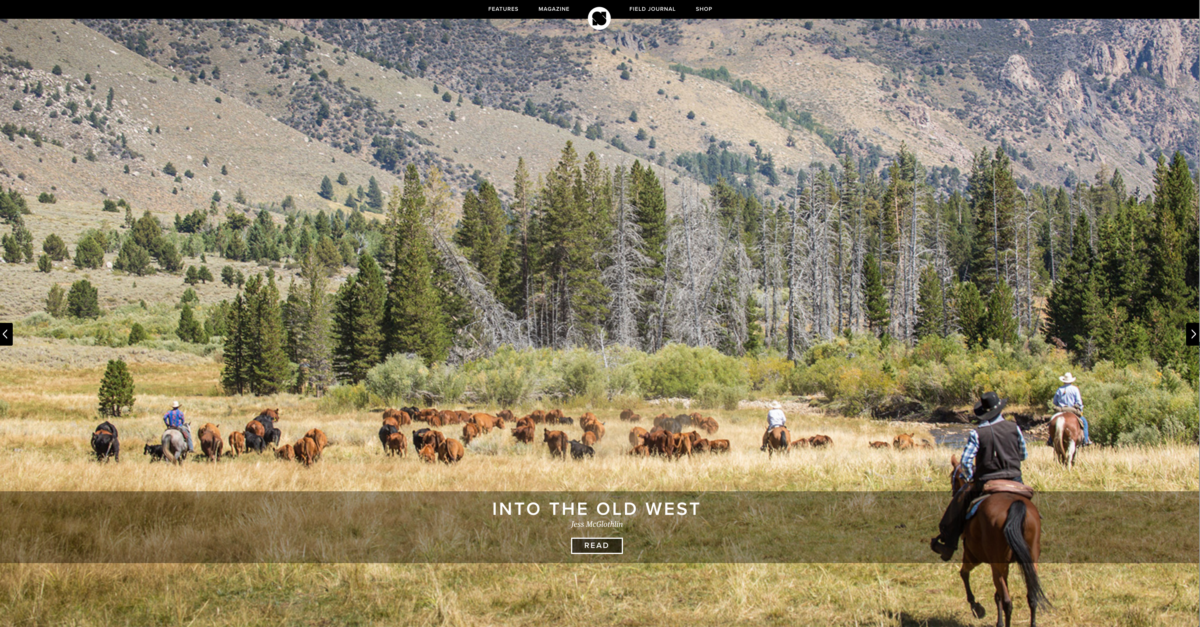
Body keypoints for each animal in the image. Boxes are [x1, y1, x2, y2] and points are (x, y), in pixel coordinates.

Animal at [950, 454, 1046, 624]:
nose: (954, 493)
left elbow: (964, 574)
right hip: (1030, 560)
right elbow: (997, 596)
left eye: (952, 478)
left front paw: (976, 608)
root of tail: (1016, 504)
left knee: (1008, 601)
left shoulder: (972, 555)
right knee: (1032, 597)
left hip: (994, 563)